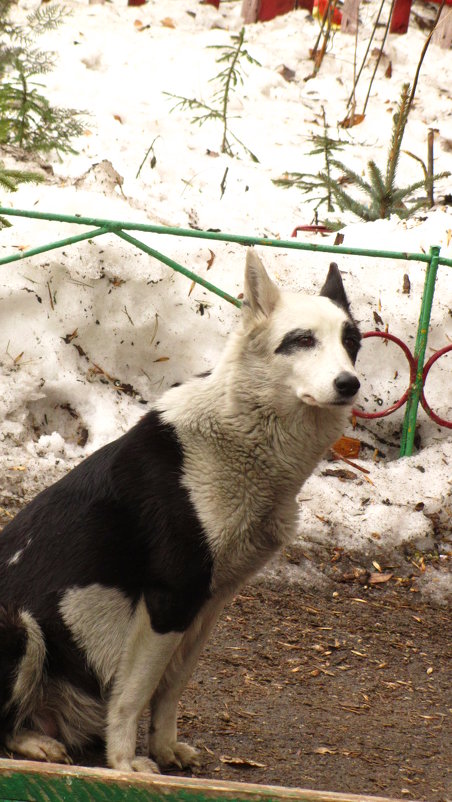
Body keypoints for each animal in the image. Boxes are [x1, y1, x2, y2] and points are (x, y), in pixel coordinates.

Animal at [0, 250, 360, 768]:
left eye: (351, 342)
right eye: (302, 340)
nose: (350, 384)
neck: (242, 441)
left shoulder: (209, 603)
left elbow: (171, 686)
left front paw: (165, 748)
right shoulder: (170, 599)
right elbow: (135, 691)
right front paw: (124, 763)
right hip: (20, 626)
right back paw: (35, 742)